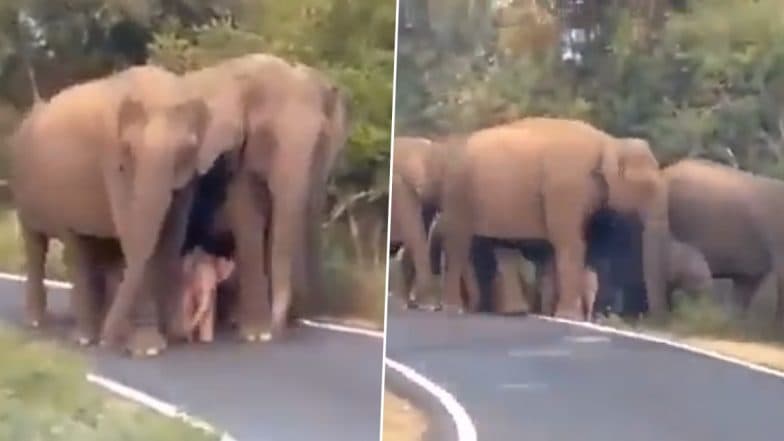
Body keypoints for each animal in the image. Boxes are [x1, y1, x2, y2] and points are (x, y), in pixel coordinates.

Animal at [9, 65, 211, 354]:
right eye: (129, 150)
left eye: (185, 150)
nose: (107, 340)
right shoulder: (113, 163)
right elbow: (136, 241)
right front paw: (145, 348)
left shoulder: (189, 176)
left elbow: (170, 238)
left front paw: (155, 342)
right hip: (27, 191)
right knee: (48, 245)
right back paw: (60, 329)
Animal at [182, 52, 348, 340]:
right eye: (267, 136)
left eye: (320, 139)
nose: (282, 326)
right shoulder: (235, 159)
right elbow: (250, 222)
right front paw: (257, 334)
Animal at [440, 117, 668, 318]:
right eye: (648, 187)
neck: (610, 143)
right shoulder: (566, 188)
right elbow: (570, 243)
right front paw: (568, 317)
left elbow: (553, 249)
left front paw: (552, 314)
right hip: (458, 193)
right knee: (458, 244)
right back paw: (455, 309)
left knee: (502, 247)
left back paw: (514, 311)